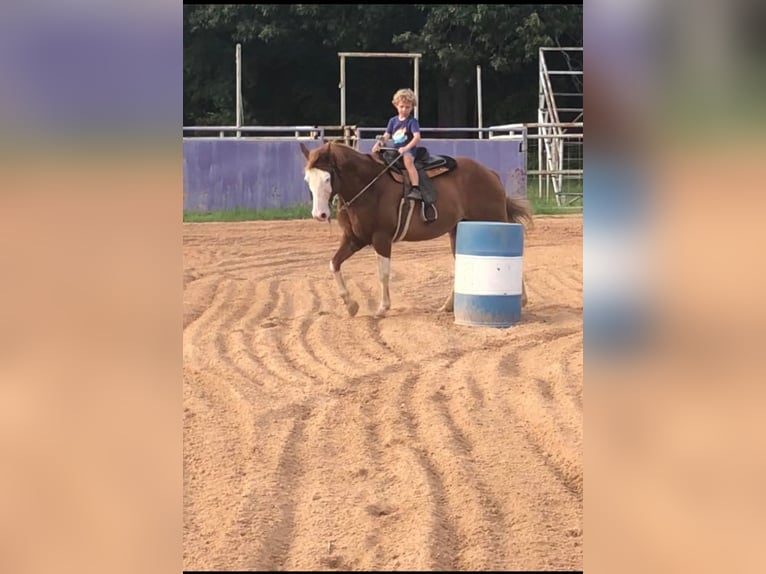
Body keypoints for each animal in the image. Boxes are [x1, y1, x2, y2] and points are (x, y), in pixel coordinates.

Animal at [300, 141, 536, 318]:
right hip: (457, 232)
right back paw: (447, 306)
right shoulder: (354, 239)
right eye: (307, 179)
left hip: (494, 219)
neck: (368, 187)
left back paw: (522, 299)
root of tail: (490, 173)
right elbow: (334, 264)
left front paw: (382, 308)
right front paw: (351, 305)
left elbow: (383, 273)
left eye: (327, 178)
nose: (319, 214)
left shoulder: (381, 238)